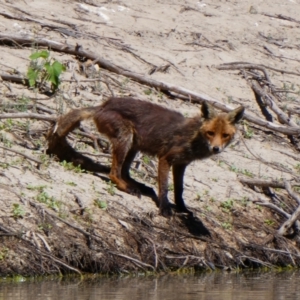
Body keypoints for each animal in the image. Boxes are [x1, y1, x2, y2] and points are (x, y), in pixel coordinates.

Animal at [47, 97, 244, 217]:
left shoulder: (181, 164)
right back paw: (127, 188)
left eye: (225, 135)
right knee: (114, 173)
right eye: (210, 133)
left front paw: (182, 208)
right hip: (125, 139)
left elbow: (179, 190)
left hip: (134, 146)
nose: (216, 149)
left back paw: (139, 186)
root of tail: (104, 104)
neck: (193, 138)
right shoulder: (166, 158)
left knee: (124, 172)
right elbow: (164, 187)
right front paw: (164, 207)